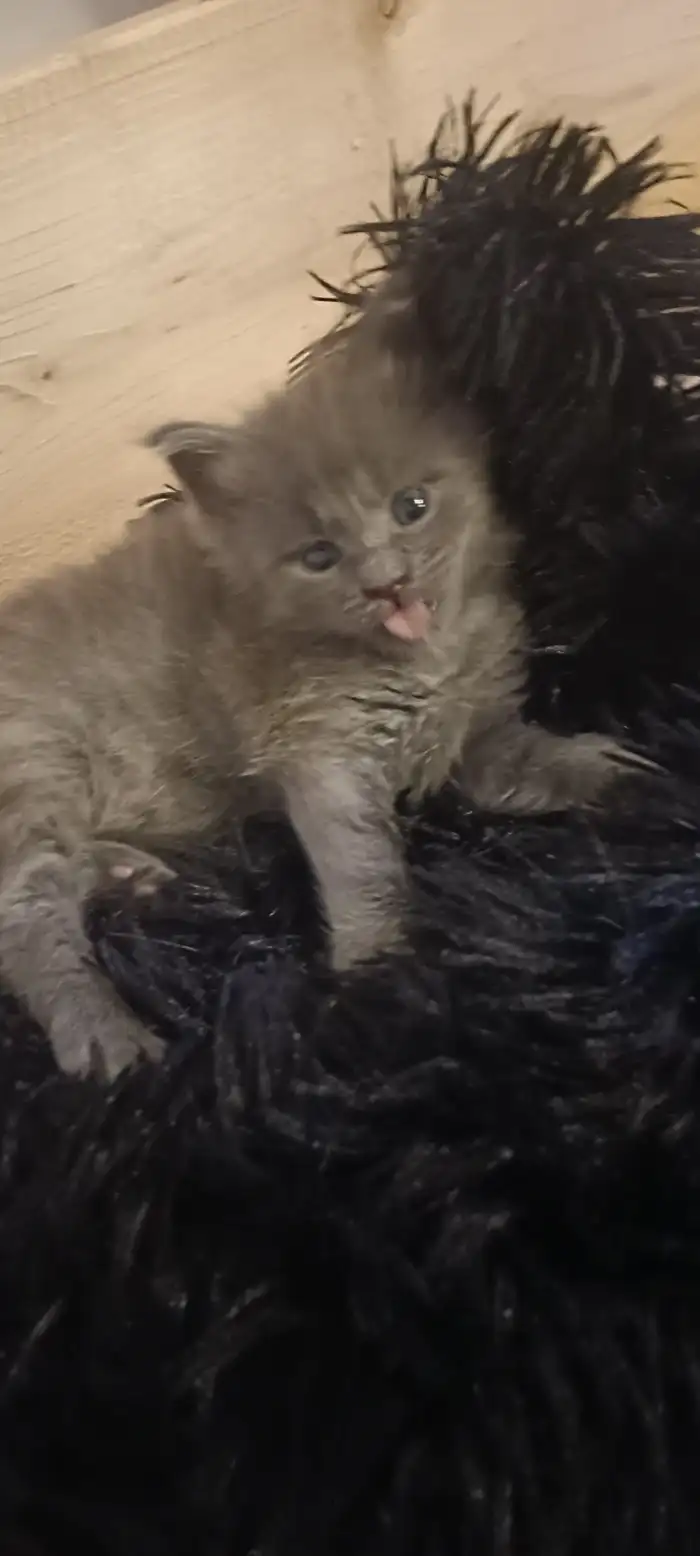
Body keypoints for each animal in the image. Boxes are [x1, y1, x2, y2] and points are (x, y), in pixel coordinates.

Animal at [0, 326, 641, 1079]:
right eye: (318, 557)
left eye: (412, 506)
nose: (388, 584)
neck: (426, 658)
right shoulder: (320, 744)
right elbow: (360, 862)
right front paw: (381, 976)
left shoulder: (477, 725)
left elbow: (516, 763)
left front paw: (610, 770)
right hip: (37, 766)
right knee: (24, 910)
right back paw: (104, 1035)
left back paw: (126, 876)